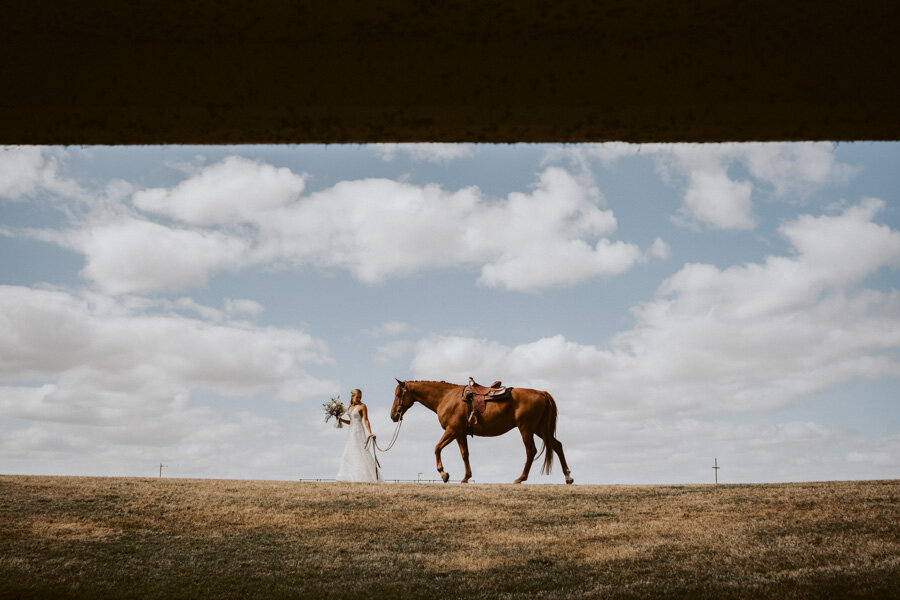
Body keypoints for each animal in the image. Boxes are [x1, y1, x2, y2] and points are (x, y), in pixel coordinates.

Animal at [388, 382, 572, 486]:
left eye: (398, 394)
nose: (393, 415)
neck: (446, 398)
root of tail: (541, 393)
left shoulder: (452, 430)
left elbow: (437, 448)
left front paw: (444, 474)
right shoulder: (460, 433)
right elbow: (465, 454)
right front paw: (466, 477)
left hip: (526, 428)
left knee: (531, 451)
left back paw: (520, 478)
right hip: (539, 429)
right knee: (557, 445)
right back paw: (568, 477)